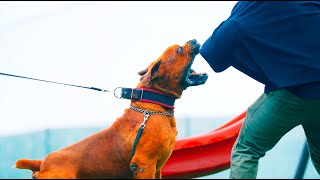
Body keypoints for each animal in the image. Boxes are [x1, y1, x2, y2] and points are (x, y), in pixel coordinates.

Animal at [15, 39, 209, 179]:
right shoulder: (143, 165)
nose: (193, 39)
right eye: (179, 50)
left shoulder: (156, 170)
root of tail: (42, 163)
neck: (154, 104)